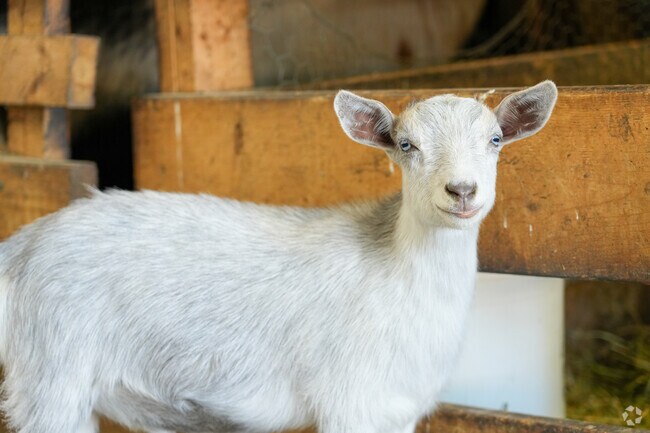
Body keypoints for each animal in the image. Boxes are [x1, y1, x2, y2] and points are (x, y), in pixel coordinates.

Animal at [0, 81, 557, 433]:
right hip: (52, 373)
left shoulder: (396, 408)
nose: (461, 191)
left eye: (495, 139)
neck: (396, 270)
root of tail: (21, 245)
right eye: (406, 145)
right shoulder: (352, 402)